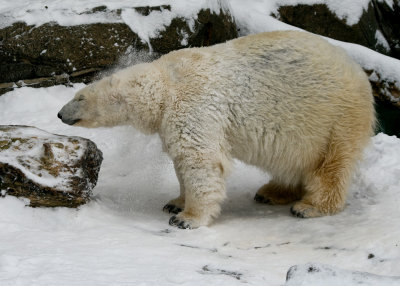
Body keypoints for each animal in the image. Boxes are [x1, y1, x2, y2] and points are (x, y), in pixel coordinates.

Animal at [57, 30, 376, 228]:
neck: (167, 84)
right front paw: (175, 202)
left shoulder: (194, 105)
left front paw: (186, 218)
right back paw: (271, 191)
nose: (60, 113)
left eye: (79, 97)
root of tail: (361, 75)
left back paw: (309, 206)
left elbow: (200, 160)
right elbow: (181, 161)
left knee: (331, 164)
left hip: (334, 117)